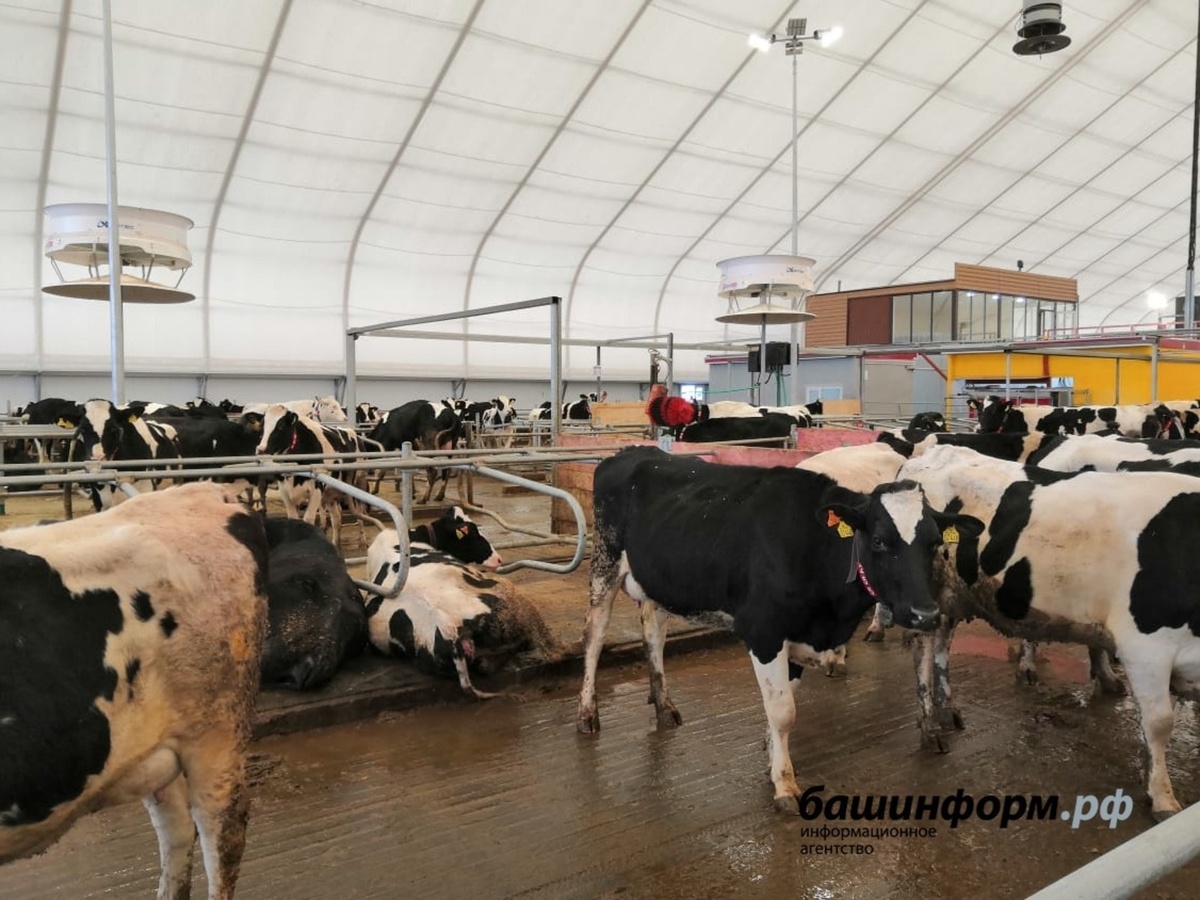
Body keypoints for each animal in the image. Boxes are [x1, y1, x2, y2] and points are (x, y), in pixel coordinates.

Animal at [575, 446, 982, 812]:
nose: (925, 613)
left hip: (659, 581)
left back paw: (663, 704)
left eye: (934, 543)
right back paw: (587, 714)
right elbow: (783, 710)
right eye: (880, 541)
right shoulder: (764, 630)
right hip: (604, 567)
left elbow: (785, 702)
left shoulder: (799, 634)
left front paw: (772, 755)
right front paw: (785, 784)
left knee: (653, 631)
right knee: (594, 638)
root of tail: (629, 452)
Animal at [898, 443, 1200, 818]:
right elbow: (1159, 724)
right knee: (923, 652)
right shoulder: (1145, 647)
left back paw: (948, 709)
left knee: (942, 644)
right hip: (930, 592)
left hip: (955, 594)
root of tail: (933, 452)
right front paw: (1161, 797)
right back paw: (930, 726)